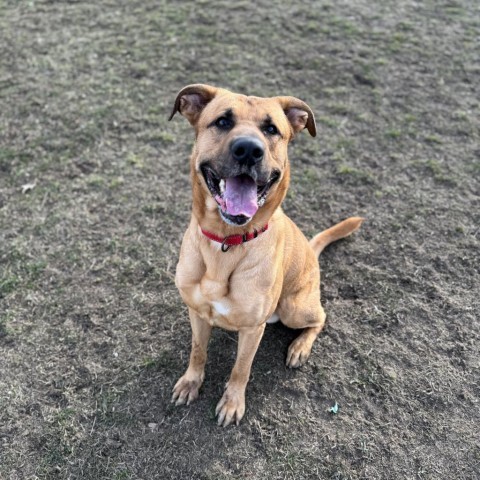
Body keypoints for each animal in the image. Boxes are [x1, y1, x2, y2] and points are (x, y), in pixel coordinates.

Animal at [168, 84, 360, 426]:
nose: (248, 150)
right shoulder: (196, 312)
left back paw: (299, 348)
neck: (226, 243)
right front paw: (191, 382)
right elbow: (197, 351)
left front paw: (232, 403)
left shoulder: (252, 330)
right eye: (222, 122)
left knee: (321, 317)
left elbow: (241, 369)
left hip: (293, 307)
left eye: (271, 129)